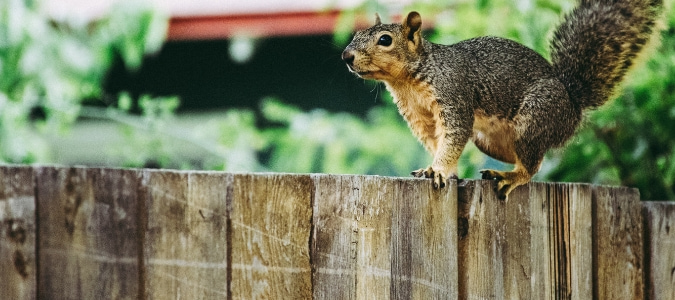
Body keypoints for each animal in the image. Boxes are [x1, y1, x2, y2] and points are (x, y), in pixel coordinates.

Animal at [344, 0, 664, 199]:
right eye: (357, 34)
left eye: (385, 40)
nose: (346, 56)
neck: (407, 80)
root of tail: (572, 103)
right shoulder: (419, 116)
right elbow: (436, 141)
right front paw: (442, 170)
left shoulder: (454, 96)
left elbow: (453, 137)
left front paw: (438, 169)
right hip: (491, 140)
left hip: (535, 117)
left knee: (532, 166)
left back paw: (511, 176)